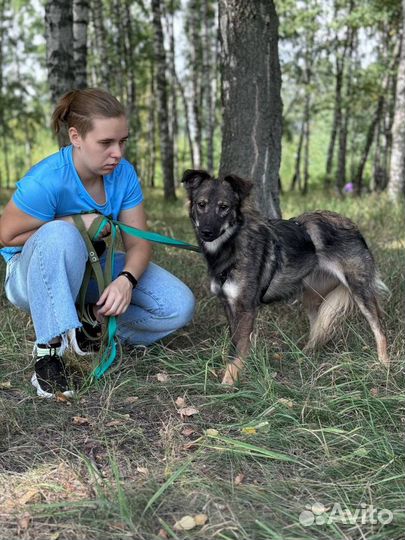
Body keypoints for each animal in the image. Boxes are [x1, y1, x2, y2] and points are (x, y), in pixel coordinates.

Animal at [181, 169, 388, 384]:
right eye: (201, 204)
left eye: (224, 207)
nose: (206, 232)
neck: (231, 247)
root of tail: (353, 226)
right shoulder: (228, 304)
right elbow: (235, 342)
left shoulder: (246, 308)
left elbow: (237, 349)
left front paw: (228, 382)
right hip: (312, 296)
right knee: (317, 328)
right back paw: (305, 356)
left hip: (360, 290)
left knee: (379, 329)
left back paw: (384, 365)